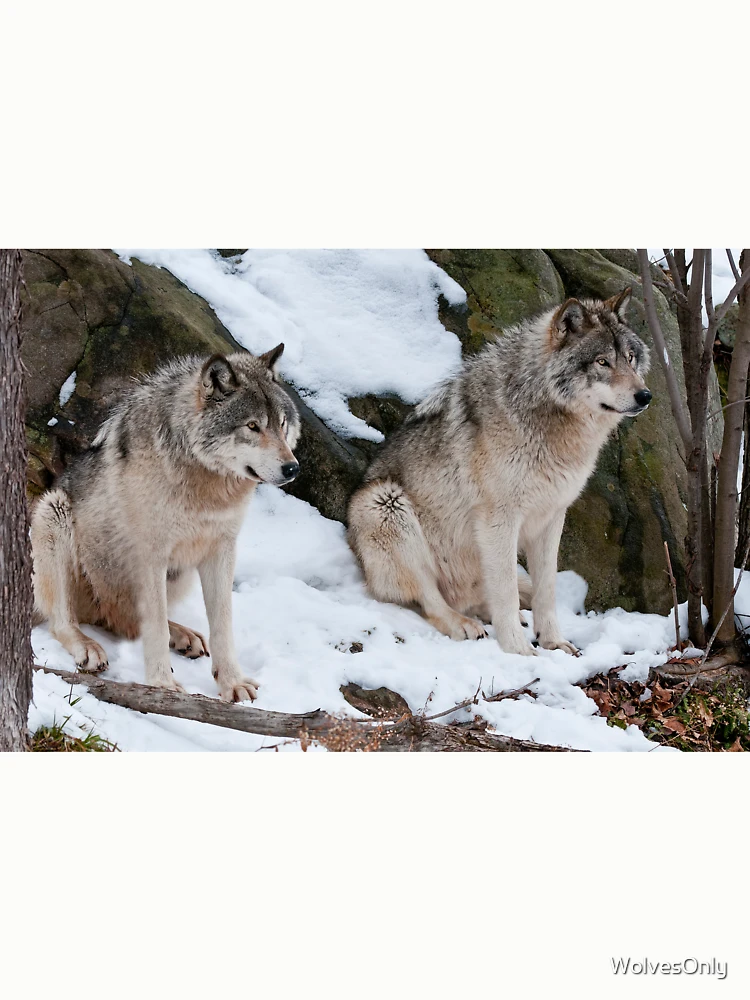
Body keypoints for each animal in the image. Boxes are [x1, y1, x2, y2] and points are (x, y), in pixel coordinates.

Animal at [31, 346, 300, 700]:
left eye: (282, 425)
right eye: (253, 426)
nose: (292, 468)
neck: (207, 488)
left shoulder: (221, 550)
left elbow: (223, 623)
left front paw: (232, 682)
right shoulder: (151, 554)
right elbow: (155, 625)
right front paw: (162, 685)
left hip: (177, 574)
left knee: (129, 623)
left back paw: (184, 635)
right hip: (53, 511)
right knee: (64, 622)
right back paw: (88, 646)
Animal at [348, 290, 651, 657]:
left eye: (631, 358)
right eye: (602, 362)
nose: (645, 395)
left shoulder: (552, 517)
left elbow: (547, 589)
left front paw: (553, 642)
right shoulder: (499, 519)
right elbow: (506, 591)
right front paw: (518, 650)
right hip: (384, 503)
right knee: (432, 601)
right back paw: (464, 624)